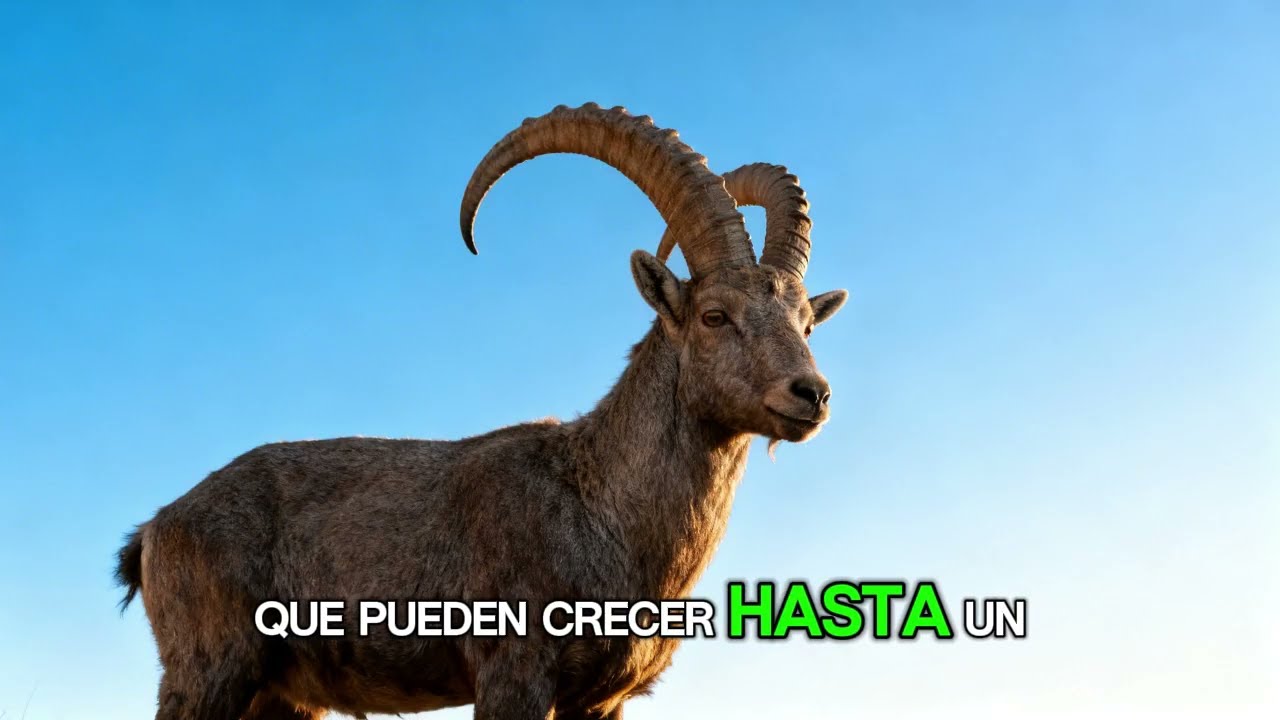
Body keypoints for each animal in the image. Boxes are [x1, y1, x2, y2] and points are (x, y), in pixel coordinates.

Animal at [116, 103, 849, 720]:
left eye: (807, 322)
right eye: (714, 315)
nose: (811, 394)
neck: (597, 502)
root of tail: (156, 528)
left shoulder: (602, 701)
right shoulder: (512, 673)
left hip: (284, 696)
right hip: (209, 670)